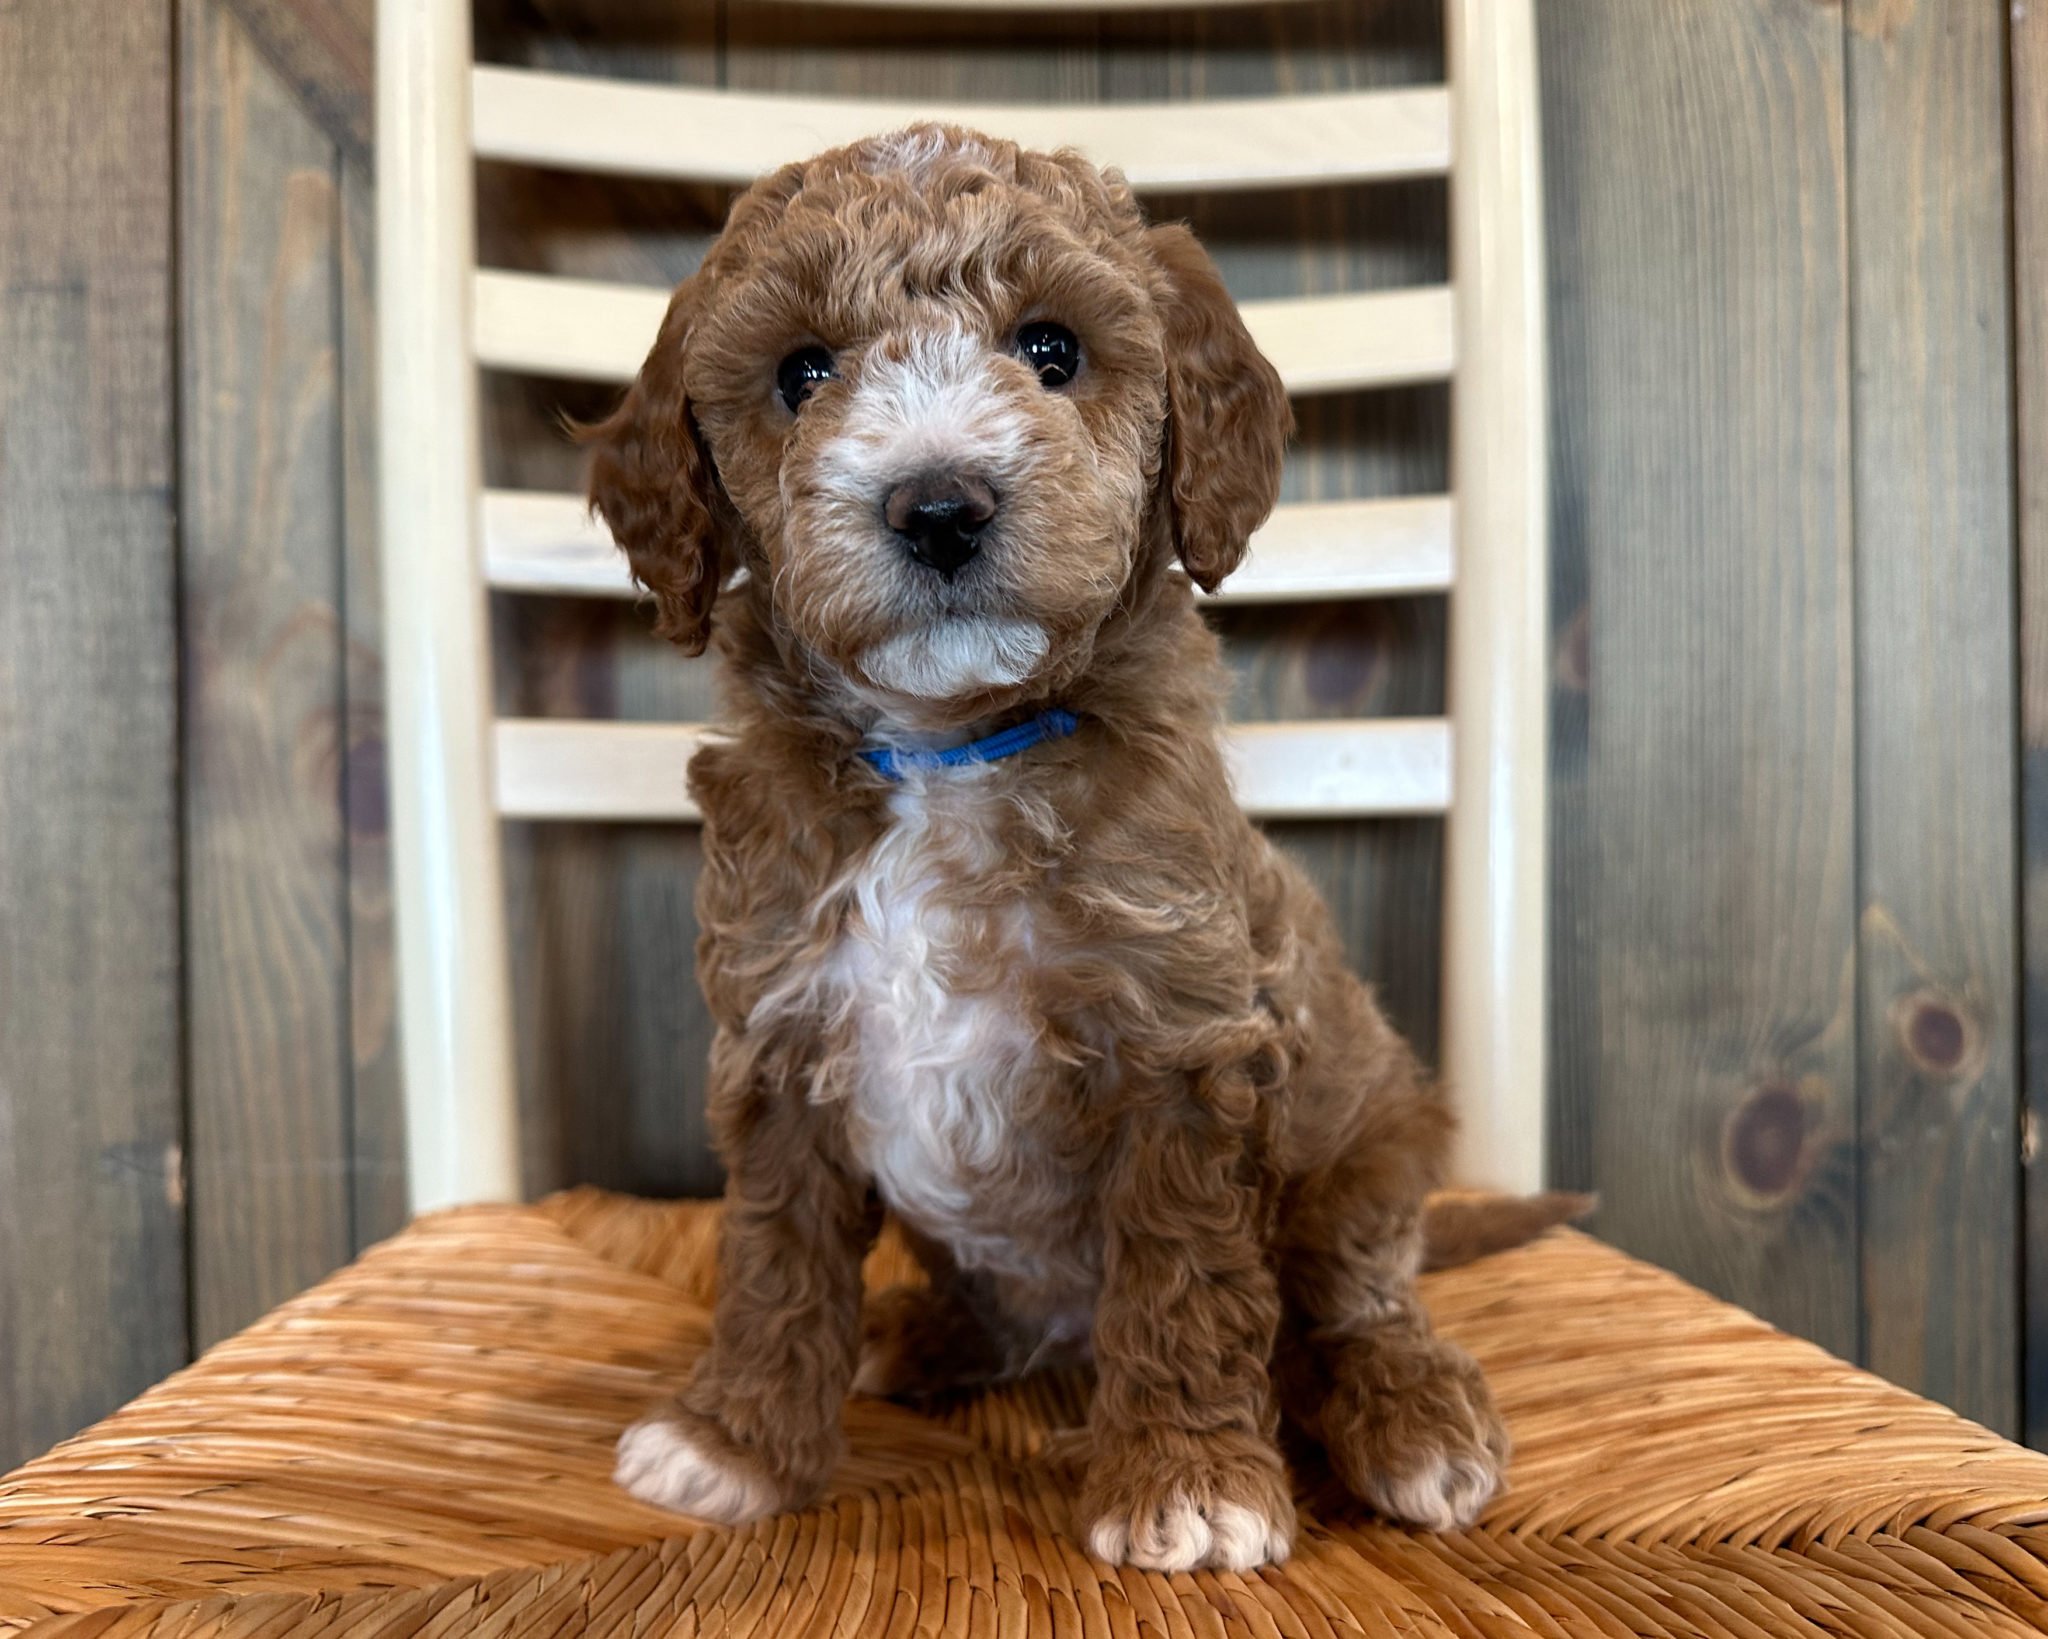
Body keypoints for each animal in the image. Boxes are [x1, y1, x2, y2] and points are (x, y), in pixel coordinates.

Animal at [585, 124, 1515, 1573]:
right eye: (801, 371)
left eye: (1052, 347)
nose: (939, 504)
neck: (949, 752)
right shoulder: (781, 1039)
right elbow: (773, 1261)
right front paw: (734, 1439)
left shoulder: (1183, 1044)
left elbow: (1183, 1278)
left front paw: (1188, 1481)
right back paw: (919, 1335)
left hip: (1368, 1153)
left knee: (1351, 1305)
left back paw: (1411, 1421)